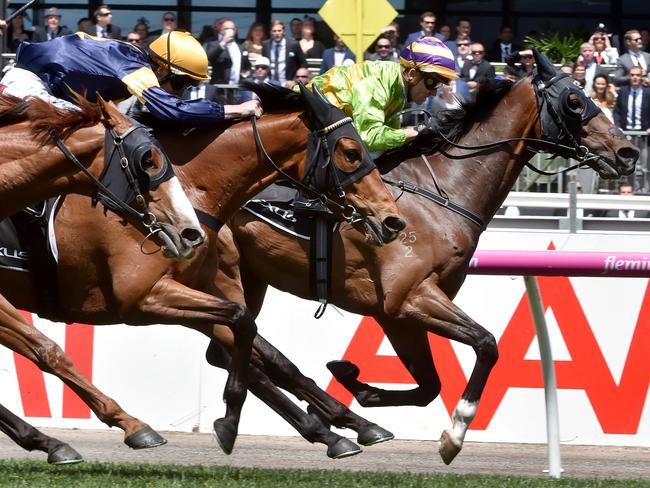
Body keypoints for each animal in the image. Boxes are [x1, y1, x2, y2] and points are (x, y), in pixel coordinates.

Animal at [0, 82, 404, 460]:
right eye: (351, 152)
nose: (393, 220)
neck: (195, 197)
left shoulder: (199, 292)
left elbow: (257, 344)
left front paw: (338, 427)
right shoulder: (143, 298)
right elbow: (247, 337)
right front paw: (233, 422)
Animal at [205, 49, 636, 466]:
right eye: (575, 101)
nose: (627, 151)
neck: (442, 193)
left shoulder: (398, 313)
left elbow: (430, 385)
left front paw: (353, 380)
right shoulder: (409, 299)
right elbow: (486, 344)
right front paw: (455, 434)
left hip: (251, 278)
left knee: (231, 350)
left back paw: (338, 425)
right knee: (243, 347)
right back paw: (332, 424)